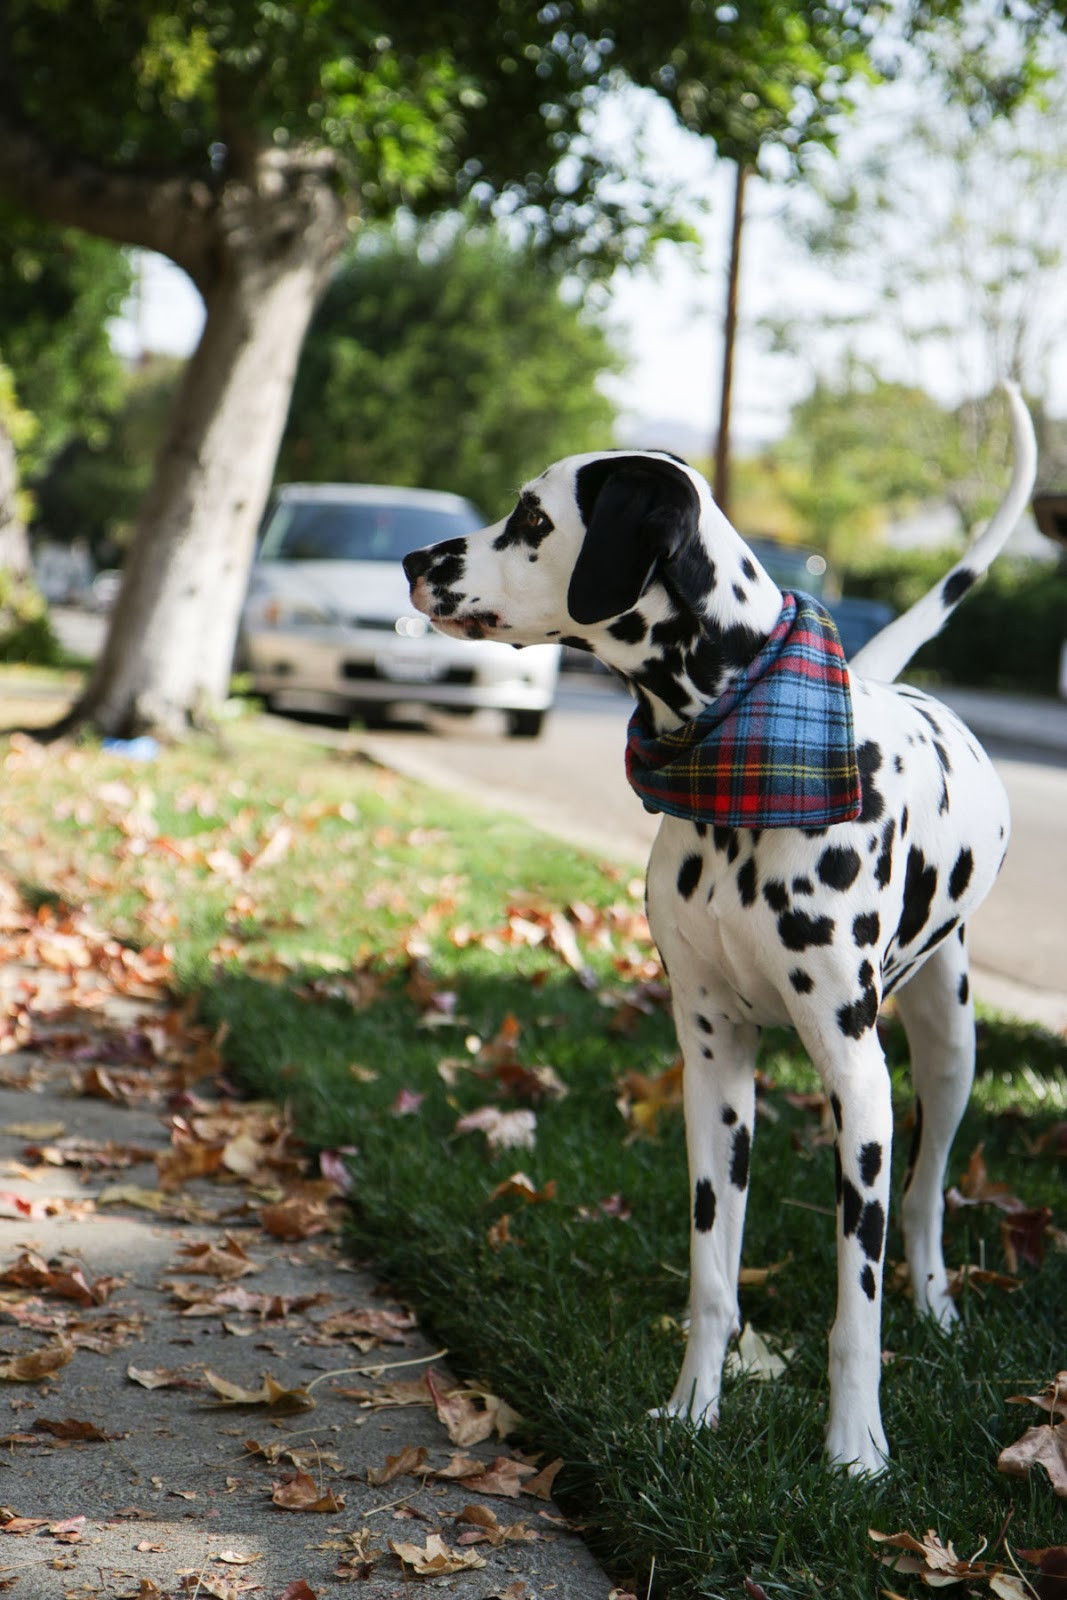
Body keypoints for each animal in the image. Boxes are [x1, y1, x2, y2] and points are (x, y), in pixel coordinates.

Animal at [403, 380, 1036, 1465]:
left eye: (533, 518)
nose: (413, 562)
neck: (736, 752)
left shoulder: (856, 1082)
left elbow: (854, 1303)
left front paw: (854, 1451)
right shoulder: (710, 1064)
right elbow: (709, 1274)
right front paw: (691, 1408)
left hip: (946, 1047)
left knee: (920, 1201)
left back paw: (938, 1306)